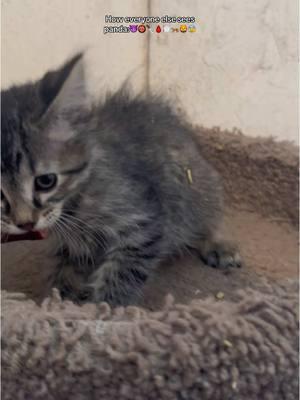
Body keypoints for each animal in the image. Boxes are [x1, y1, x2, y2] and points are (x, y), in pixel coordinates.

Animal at [0, 52, 241, 304]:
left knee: (209, 216)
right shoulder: (69, 248)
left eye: (46, 181)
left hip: (200, 187)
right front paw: (58, 300)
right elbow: (62, 274)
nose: (25, 223)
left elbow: (120, 277)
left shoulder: (142, 224)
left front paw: (103, 307)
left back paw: (218, 244)